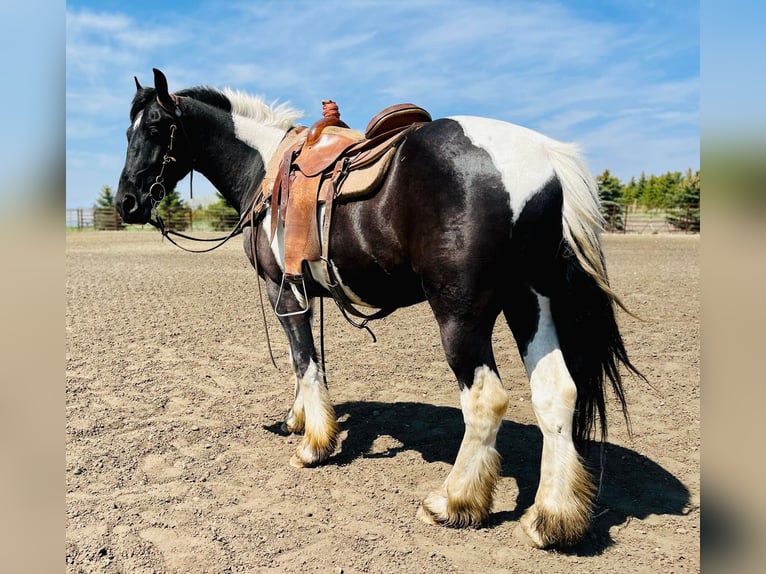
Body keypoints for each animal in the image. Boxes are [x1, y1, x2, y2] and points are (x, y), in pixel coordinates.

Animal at [115, 70, 640, 552]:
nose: (126, 202)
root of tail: (545, 160)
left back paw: (454, 502)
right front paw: (298, 420)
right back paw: (552, 518)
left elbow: (304, 361)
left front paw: (314, 445)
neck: (264, 168)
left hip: (461, 316)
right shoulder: (303, 293)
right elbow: (306, 362)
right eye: (128, 130)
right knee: (557, 392)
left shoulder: (282, 292)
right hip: (530, 300)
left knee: (485, 400)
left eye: (157, 126)